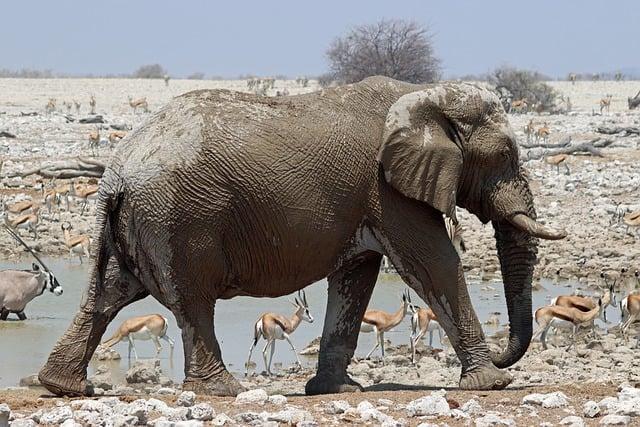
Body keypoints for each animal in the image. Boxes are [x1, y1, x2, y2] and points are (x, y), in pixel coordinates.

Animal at [38, 74, 564, 398]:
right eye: (506, 156)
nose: (504, 353)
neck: (425, 94)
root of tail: (116, 170)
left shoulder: (365, 198)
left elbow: (357, 276)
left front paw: (335, 390)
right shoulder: (386, 190)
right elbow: (434, 263)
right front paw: (491, 383)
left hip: (134, 220)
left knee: (107, 294)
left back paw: (64, 387)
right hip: (179, 220)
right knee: (192, 301)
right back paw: (224, 390)